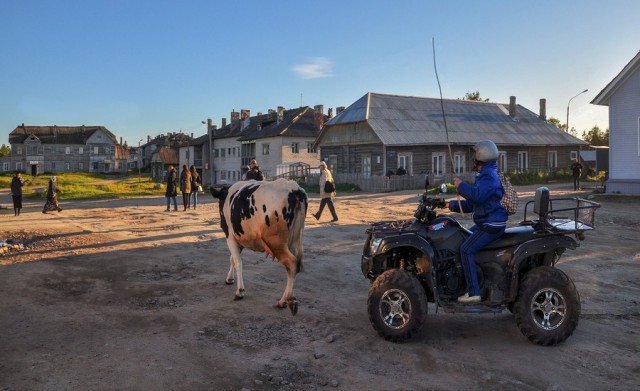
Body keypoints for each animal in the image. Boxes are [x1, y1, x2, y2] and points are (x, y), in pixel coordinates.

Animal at [210, 179, 308, 316]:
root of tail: (294, 188)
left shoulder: (230, 236)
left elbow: (237, 261)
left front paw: (240, 291)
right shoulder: (239, 238)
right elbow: (232, 259)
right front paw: (229, 278)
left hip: (276, 242)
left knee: (292, 264)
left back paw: (283, 301)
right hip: (293, 241)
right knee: (293, 268)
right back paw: (288, 298)